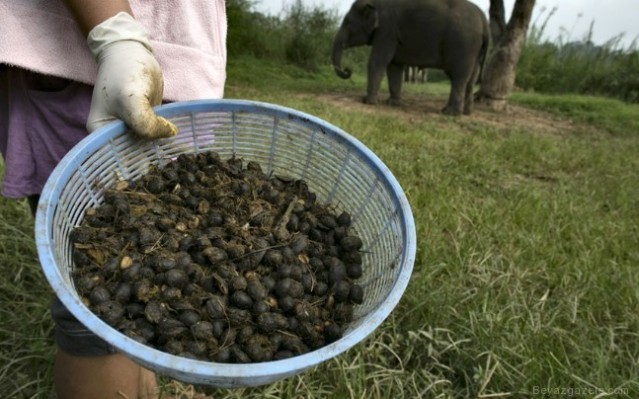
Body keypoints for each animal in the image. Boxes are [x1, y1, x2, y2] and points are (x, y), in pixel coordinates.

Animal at [336, 0, 490, 115]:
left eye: (348, 22)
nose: (347, 70)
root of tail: (484, 21)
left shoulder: (387, 30)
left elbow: (378, 61)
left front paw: (368, 102)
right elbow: (394, 66)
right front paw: (392, 103)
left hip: (464, 44)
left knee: (458, 77)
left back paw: (450, 113)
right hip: (475, 49)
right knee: (471, 79)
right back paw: (466, 112)